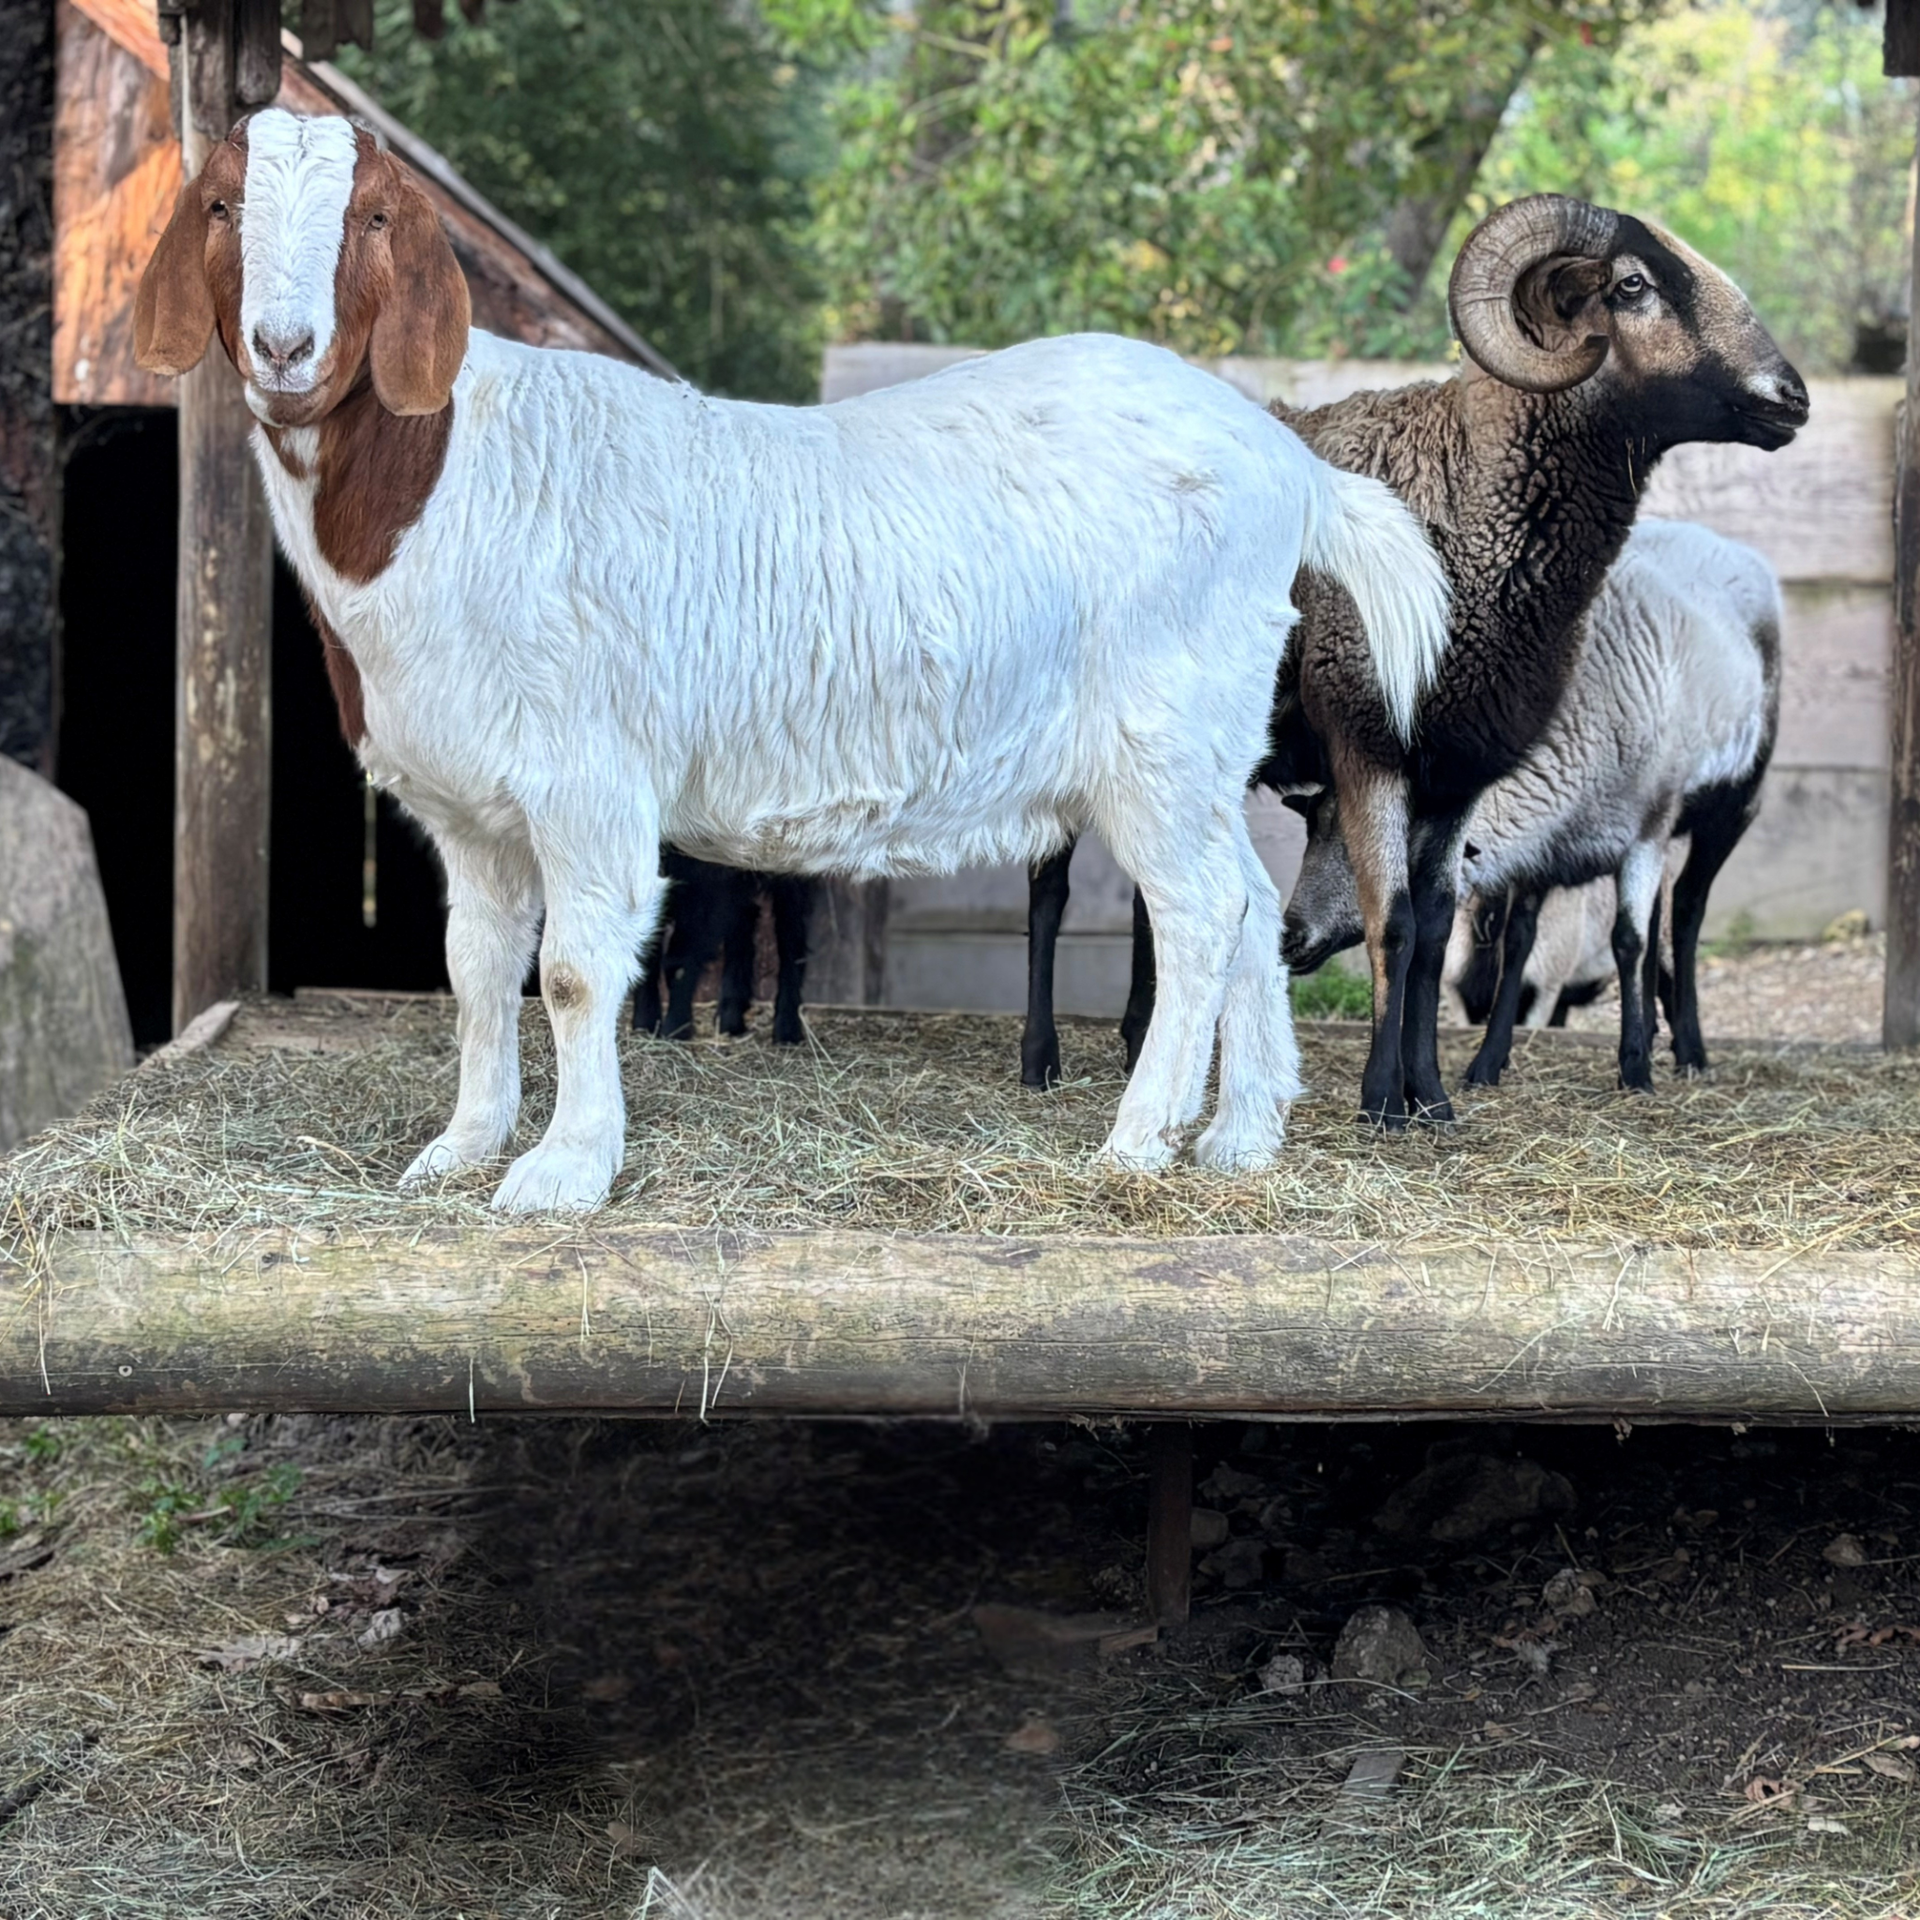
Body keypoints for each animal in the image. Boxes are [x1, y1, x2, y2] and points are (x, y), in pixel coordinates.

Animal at [634, 854, 813, 1045]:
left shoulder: (707, 884)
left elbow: (678, 963)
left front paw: (675, 1030)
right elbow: (645, 956)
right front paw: (644, 1024)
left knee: (791, 934)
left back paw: (787, 1030)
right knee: (743, 921)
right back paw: (730, 1018)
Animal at [1283, 519, 1782, 1090]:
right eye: (1309, 828)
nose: (1289, 937)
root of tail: (1719, 540)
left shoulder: (1647, 831)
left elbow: (1627, 941)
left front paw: (1634, 1068)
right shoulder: (1545, 850)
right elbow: (1519, 944)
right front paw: (1486, 1063)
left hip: (1735, 802)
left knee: (1687, 908)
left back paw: (1691, 1050)